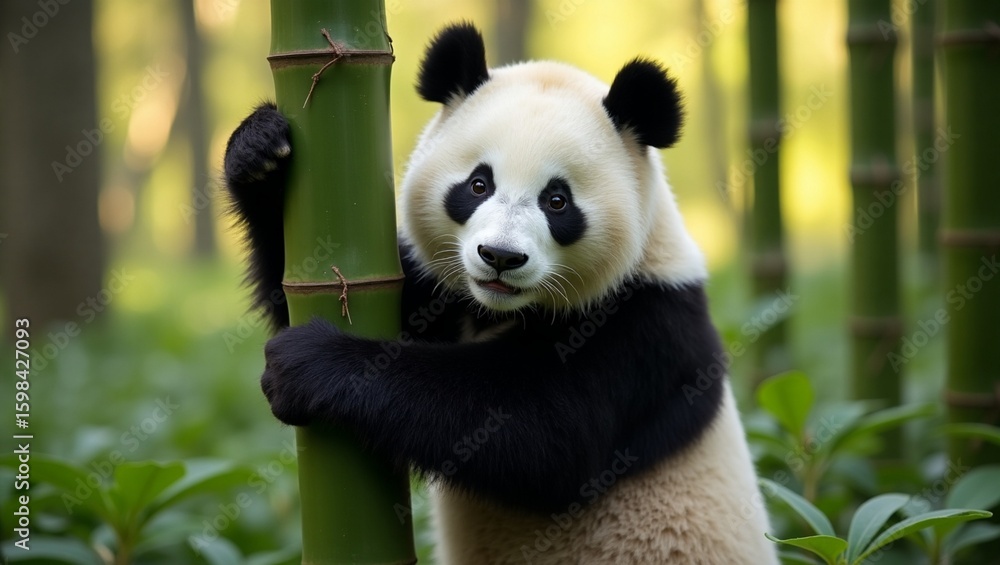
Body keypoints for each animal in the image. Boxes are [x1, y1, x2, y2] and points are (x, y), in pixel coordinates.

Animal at [225, 22, 777, 565]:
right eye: (478, 184)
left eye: (557, 201)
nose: (500, 257)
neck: (502, 309)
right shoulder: (437, 291)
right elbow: (301, 288)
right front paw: (261, 154)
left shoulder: (646, 328)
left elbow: (539, 434)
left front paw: (309, 363)